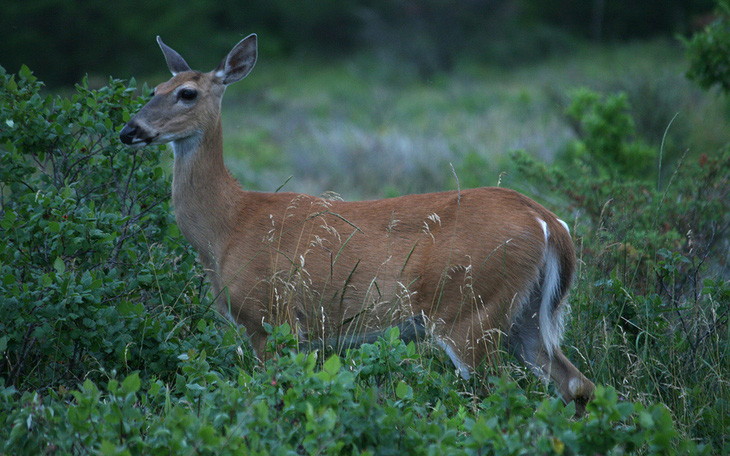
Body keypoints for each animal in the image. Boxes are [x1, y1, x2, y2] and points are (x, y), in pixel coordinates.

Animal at [119, 34, 596, 414]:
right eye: (154, 88)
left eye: (186, 93)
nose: (129, 130)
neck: (228, 226)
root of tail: (549, 223)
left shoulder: (271, 318)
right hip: (524, 314)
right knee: (576, 382)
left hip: (469, 308)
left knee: (502, 391)